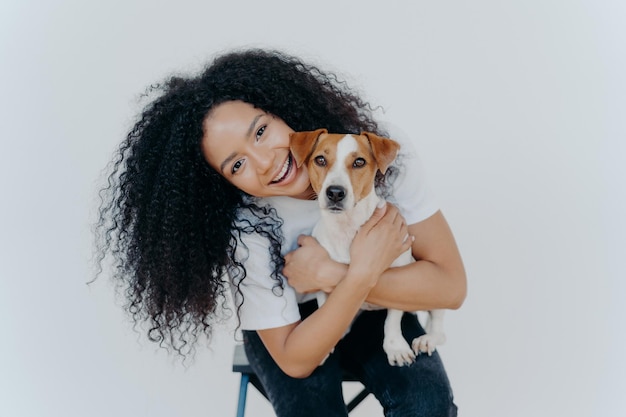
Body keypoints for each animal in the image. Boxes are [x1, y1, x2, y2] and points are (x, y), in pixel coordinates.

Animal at [288, 128, 444, 366]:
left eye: (359, 162)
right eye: (320, 160)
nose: (335, 192)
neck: (347, 227)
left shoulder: (402, 276)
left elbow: (392, 319)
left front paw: (395, 347)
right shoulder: (322, 284)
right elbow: (326, 308)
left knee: (438, 323)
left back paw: (428, 339)